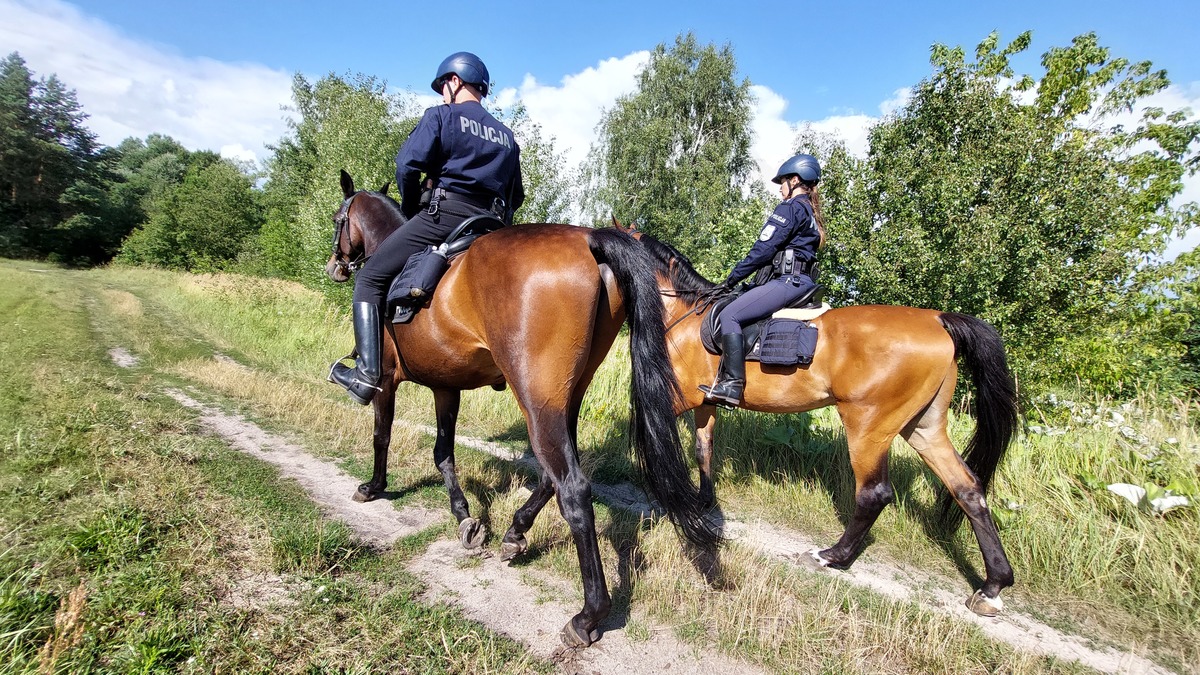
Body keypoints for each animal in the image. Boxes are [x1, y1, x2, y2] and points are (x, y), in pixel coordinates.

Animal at [321, 170, 710, 643]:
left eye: (339, 219)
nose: (336, 266)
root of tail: (589, 238)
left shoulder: (386, 381)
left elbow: (382, 435)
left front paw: (374, 487)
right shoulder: (445, 387)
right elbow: (443, 452)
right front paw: (465, 518)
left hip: (536, 398)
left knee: (572, 487)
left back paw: (588, 615)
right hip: (561, 397)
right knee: (551, 473)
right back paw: (514, 532)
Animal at [619, 220, 1022, 614]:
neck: (687, 316)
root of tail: (937, 320)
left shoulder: (674, 398)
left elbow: (650, 434)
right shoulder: (705, 402)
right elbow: (704, 449)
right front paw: (702, 502)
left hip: (868, 426)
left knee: (874, 494)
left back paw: (831, 556)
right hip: (923, 427)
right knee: (967, 489)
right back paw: (992, 587)